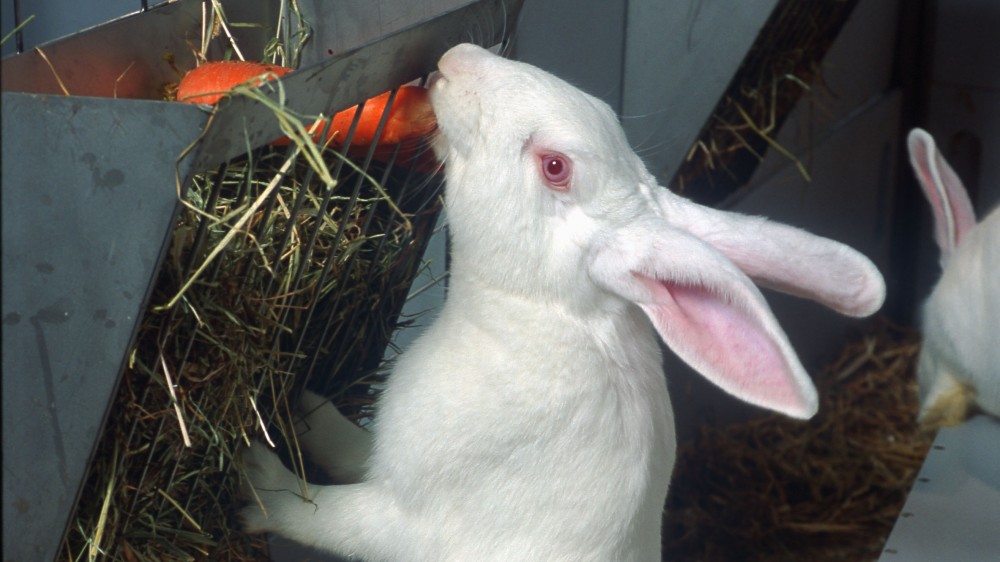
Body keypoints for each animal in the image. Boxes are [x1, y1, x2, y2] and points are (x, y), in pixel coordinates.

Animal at [240, 43, 884, 560]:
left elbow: (323, 517)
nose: (456, 59)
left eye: (555, 167)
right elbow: (351, 446)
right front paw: (305, 409)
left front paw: (256, 481)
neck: (535, 315)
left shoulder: (405, 517)